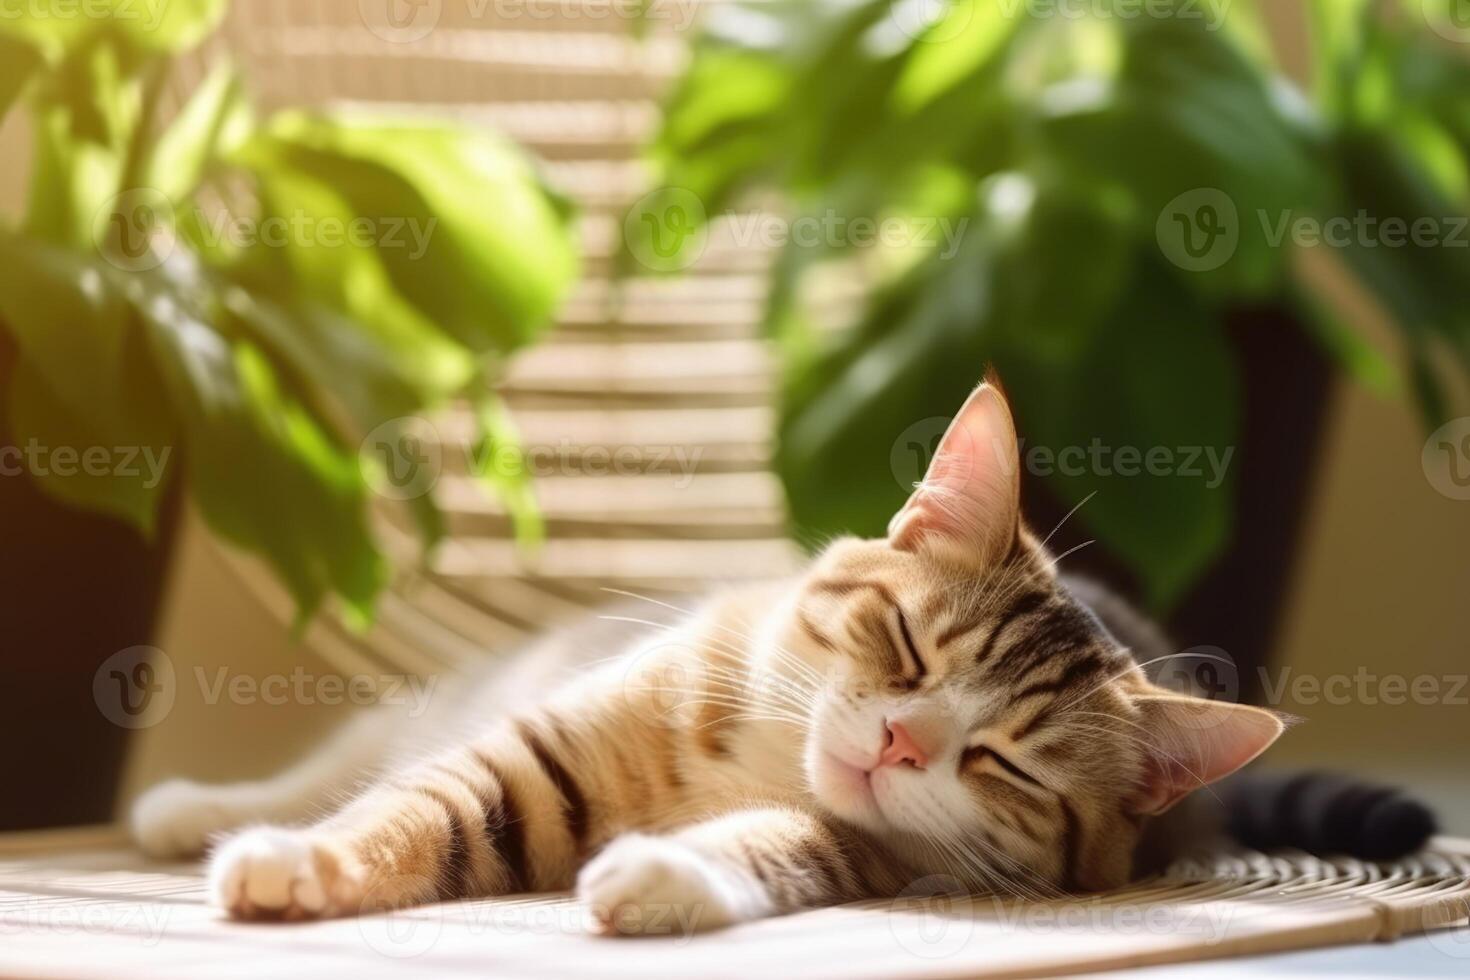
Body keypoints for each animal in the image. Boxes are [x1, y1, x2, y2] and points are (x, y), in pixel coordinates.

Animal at [132, 373, 1428, 928]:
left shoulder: (866, 844)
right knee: (339, 764)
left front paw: (663, 874)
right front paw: (299, 860)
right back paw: (200, 810)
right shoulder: (539, 747)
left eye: (1006, 763)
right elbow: (409, 809)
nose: (902, 738)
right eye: (905, 644)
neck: (753, 754)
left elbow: (774, 848)